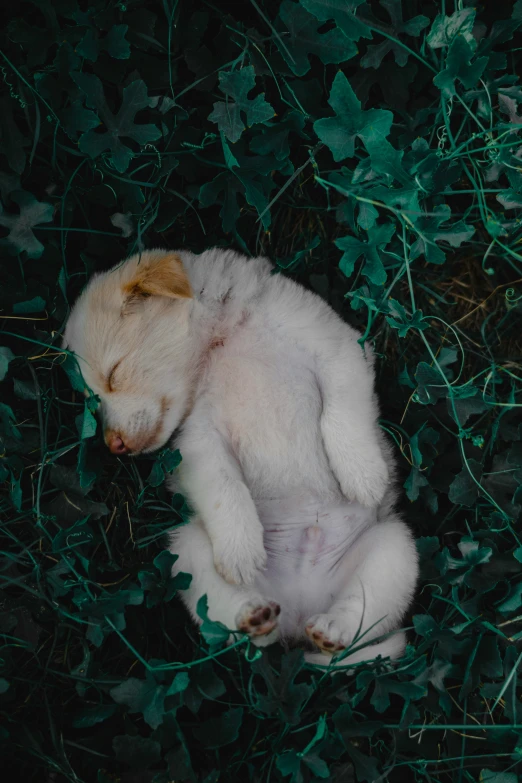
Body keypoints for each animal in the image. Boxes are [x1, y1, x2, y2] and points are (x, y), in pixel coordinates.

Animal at [63, 248, 416, 664]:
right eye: (93, 400)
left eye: (113, 374)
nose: (113, 445)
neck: (222, 342)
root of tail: (298, 615)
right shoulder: (199, 438)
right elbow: (224, 488)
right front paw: (241, 548)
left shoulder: (340, 351)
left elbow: (342, 414)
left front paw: (363, 474)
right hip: (186, 550)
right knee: (249, 632)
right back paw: (255, 616)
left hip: (395, 549)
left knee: (355, 615)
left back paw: (331, 628)